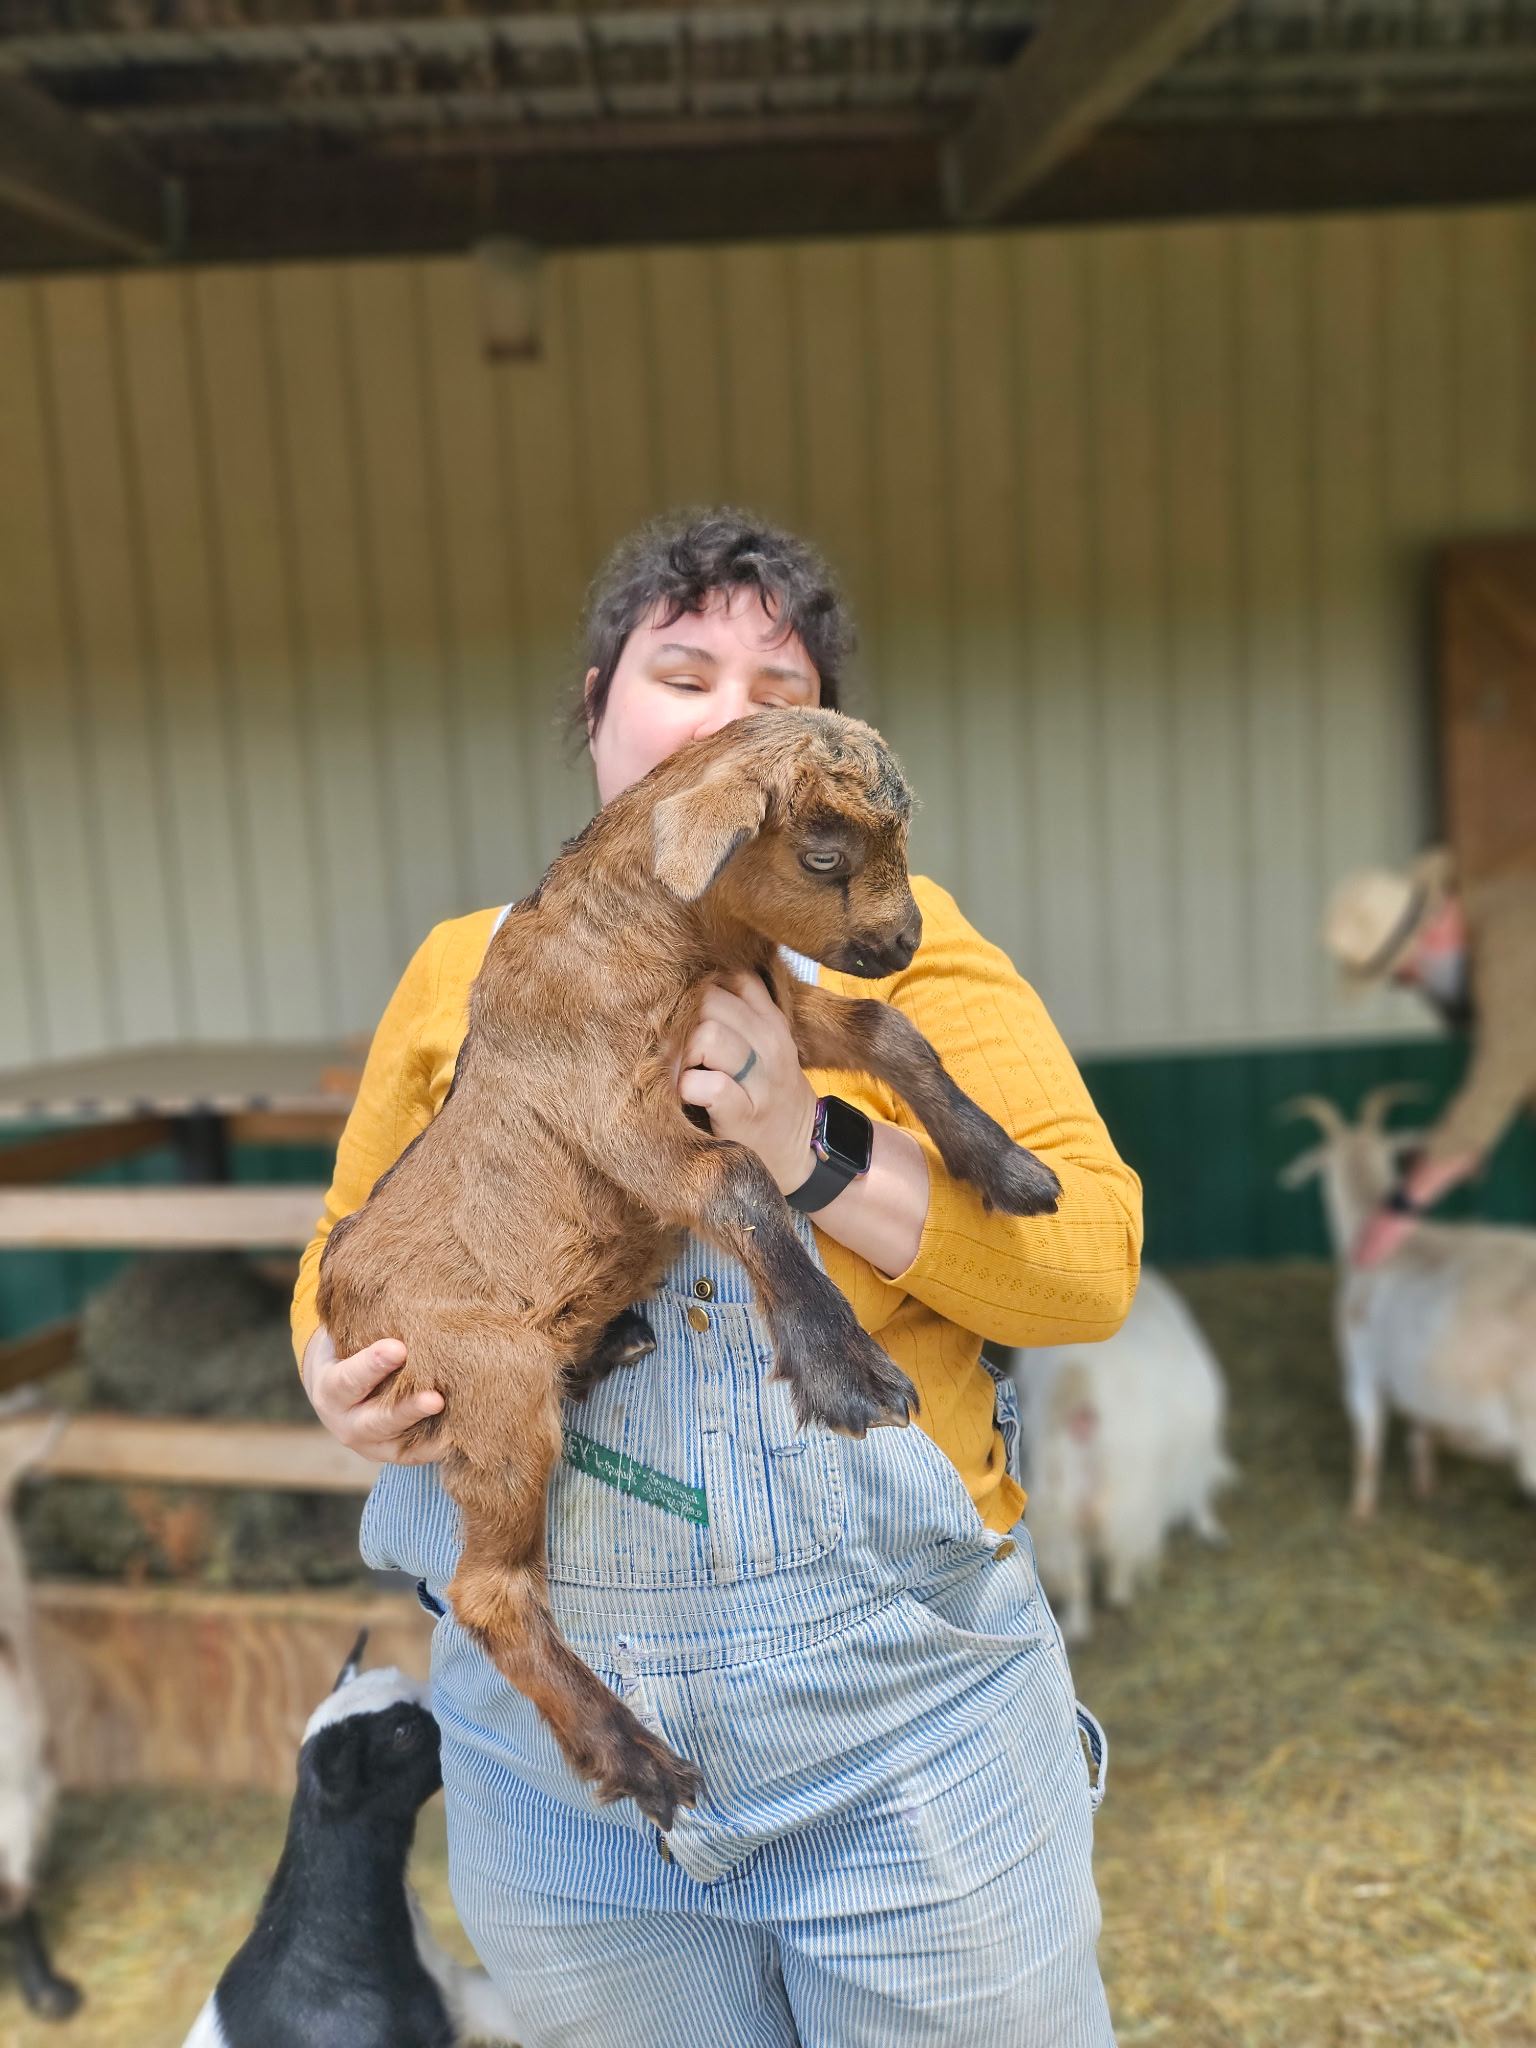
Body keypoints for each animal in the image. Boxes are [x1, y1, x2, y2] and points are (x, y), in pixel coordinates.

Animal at [1005, 1270, 1234, 1641]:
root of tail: (1078, 1388)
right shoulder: (1191, 1461)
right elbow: (1200, 1501)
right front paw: (1211, 1531)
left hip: (1058, 1507)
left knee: (1075, 1577)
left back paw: (1077, 1626)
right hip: (1128, 1498)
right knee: (1119, 1555)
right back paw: (1120, 1594)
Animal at [1282, 1085, 1536, 1519]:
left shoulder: (1361, 1370)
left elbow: (1368, 1445)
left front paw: (1360, 1512)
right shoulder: (1416, 1377)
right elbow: (1419, 1433)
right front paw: (1424, 1488)